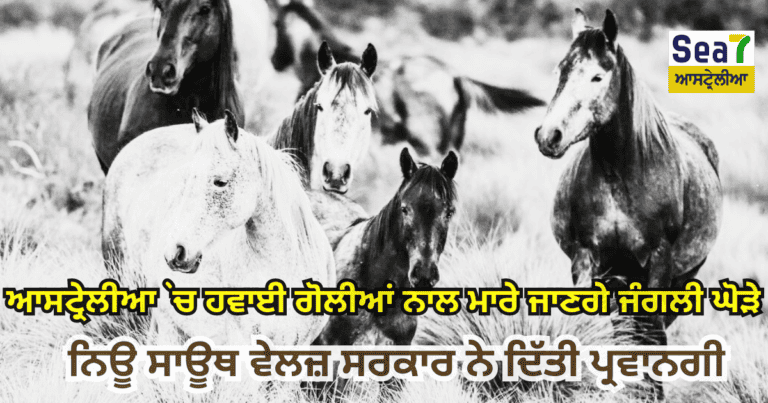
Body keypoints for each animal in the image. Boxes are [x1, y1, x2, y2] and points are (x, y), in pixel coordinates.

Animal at [534, 9, 722, 396]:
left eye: (597, 76)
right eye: (561, 70)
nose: (549, 136)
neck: (622, 174)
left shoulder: (659, 263)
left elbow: (652, 336)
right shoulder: (587, 259)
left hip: (682, 277)